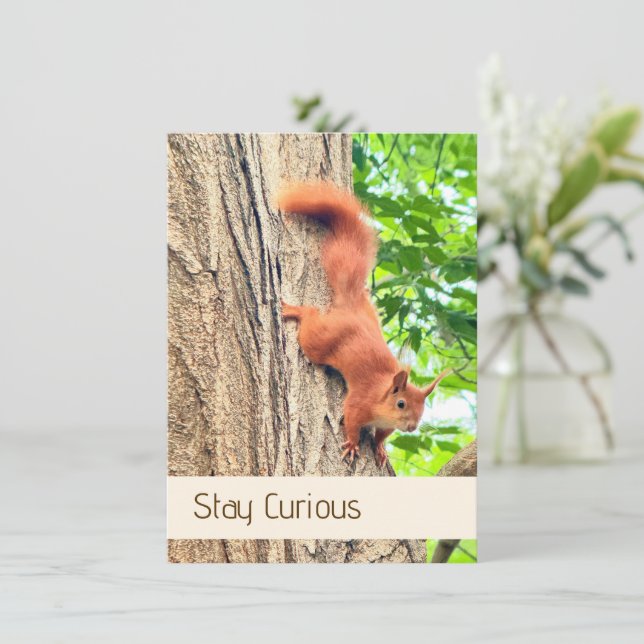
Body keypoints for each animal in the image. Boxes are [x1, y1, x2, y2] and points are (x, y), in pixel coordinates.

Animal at [279, 182, 450, 468]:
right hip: (320, 340)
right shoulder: (359, 403)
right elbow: (351, 421)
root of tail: (351, 307)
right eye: (401, 404)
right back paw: (296, 310)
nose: (412, 427)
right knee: (311, 320)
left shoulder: (387, 425)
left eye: (423, 408)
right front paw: (352, 444)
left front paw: (380, 448)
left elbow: (382, 435)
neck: (382, 398)